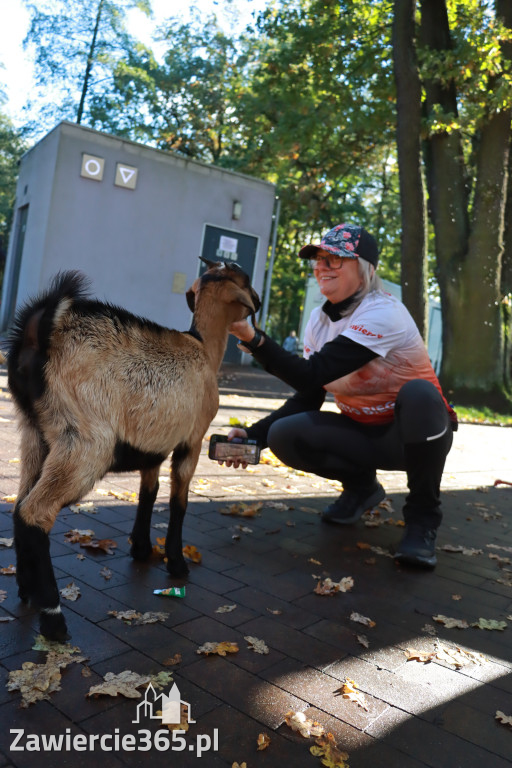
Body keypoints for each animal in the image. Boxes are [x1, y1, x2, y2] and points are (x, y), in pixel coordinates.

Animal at [9, 260, 260, 640]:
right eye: (244, 280)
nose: (257, 302)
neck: (203, 347)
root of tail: (43, 327)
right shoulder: (192, 440)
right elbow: (179, 500)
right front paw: (177, 563)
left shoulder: (153, 445)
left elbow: (149, 490)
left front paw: (141, 548)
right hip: (85, 439)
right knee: (35, 512)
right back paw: (53, 617)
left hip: (35, 433)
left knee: (19, 505)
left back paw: (26, 591)